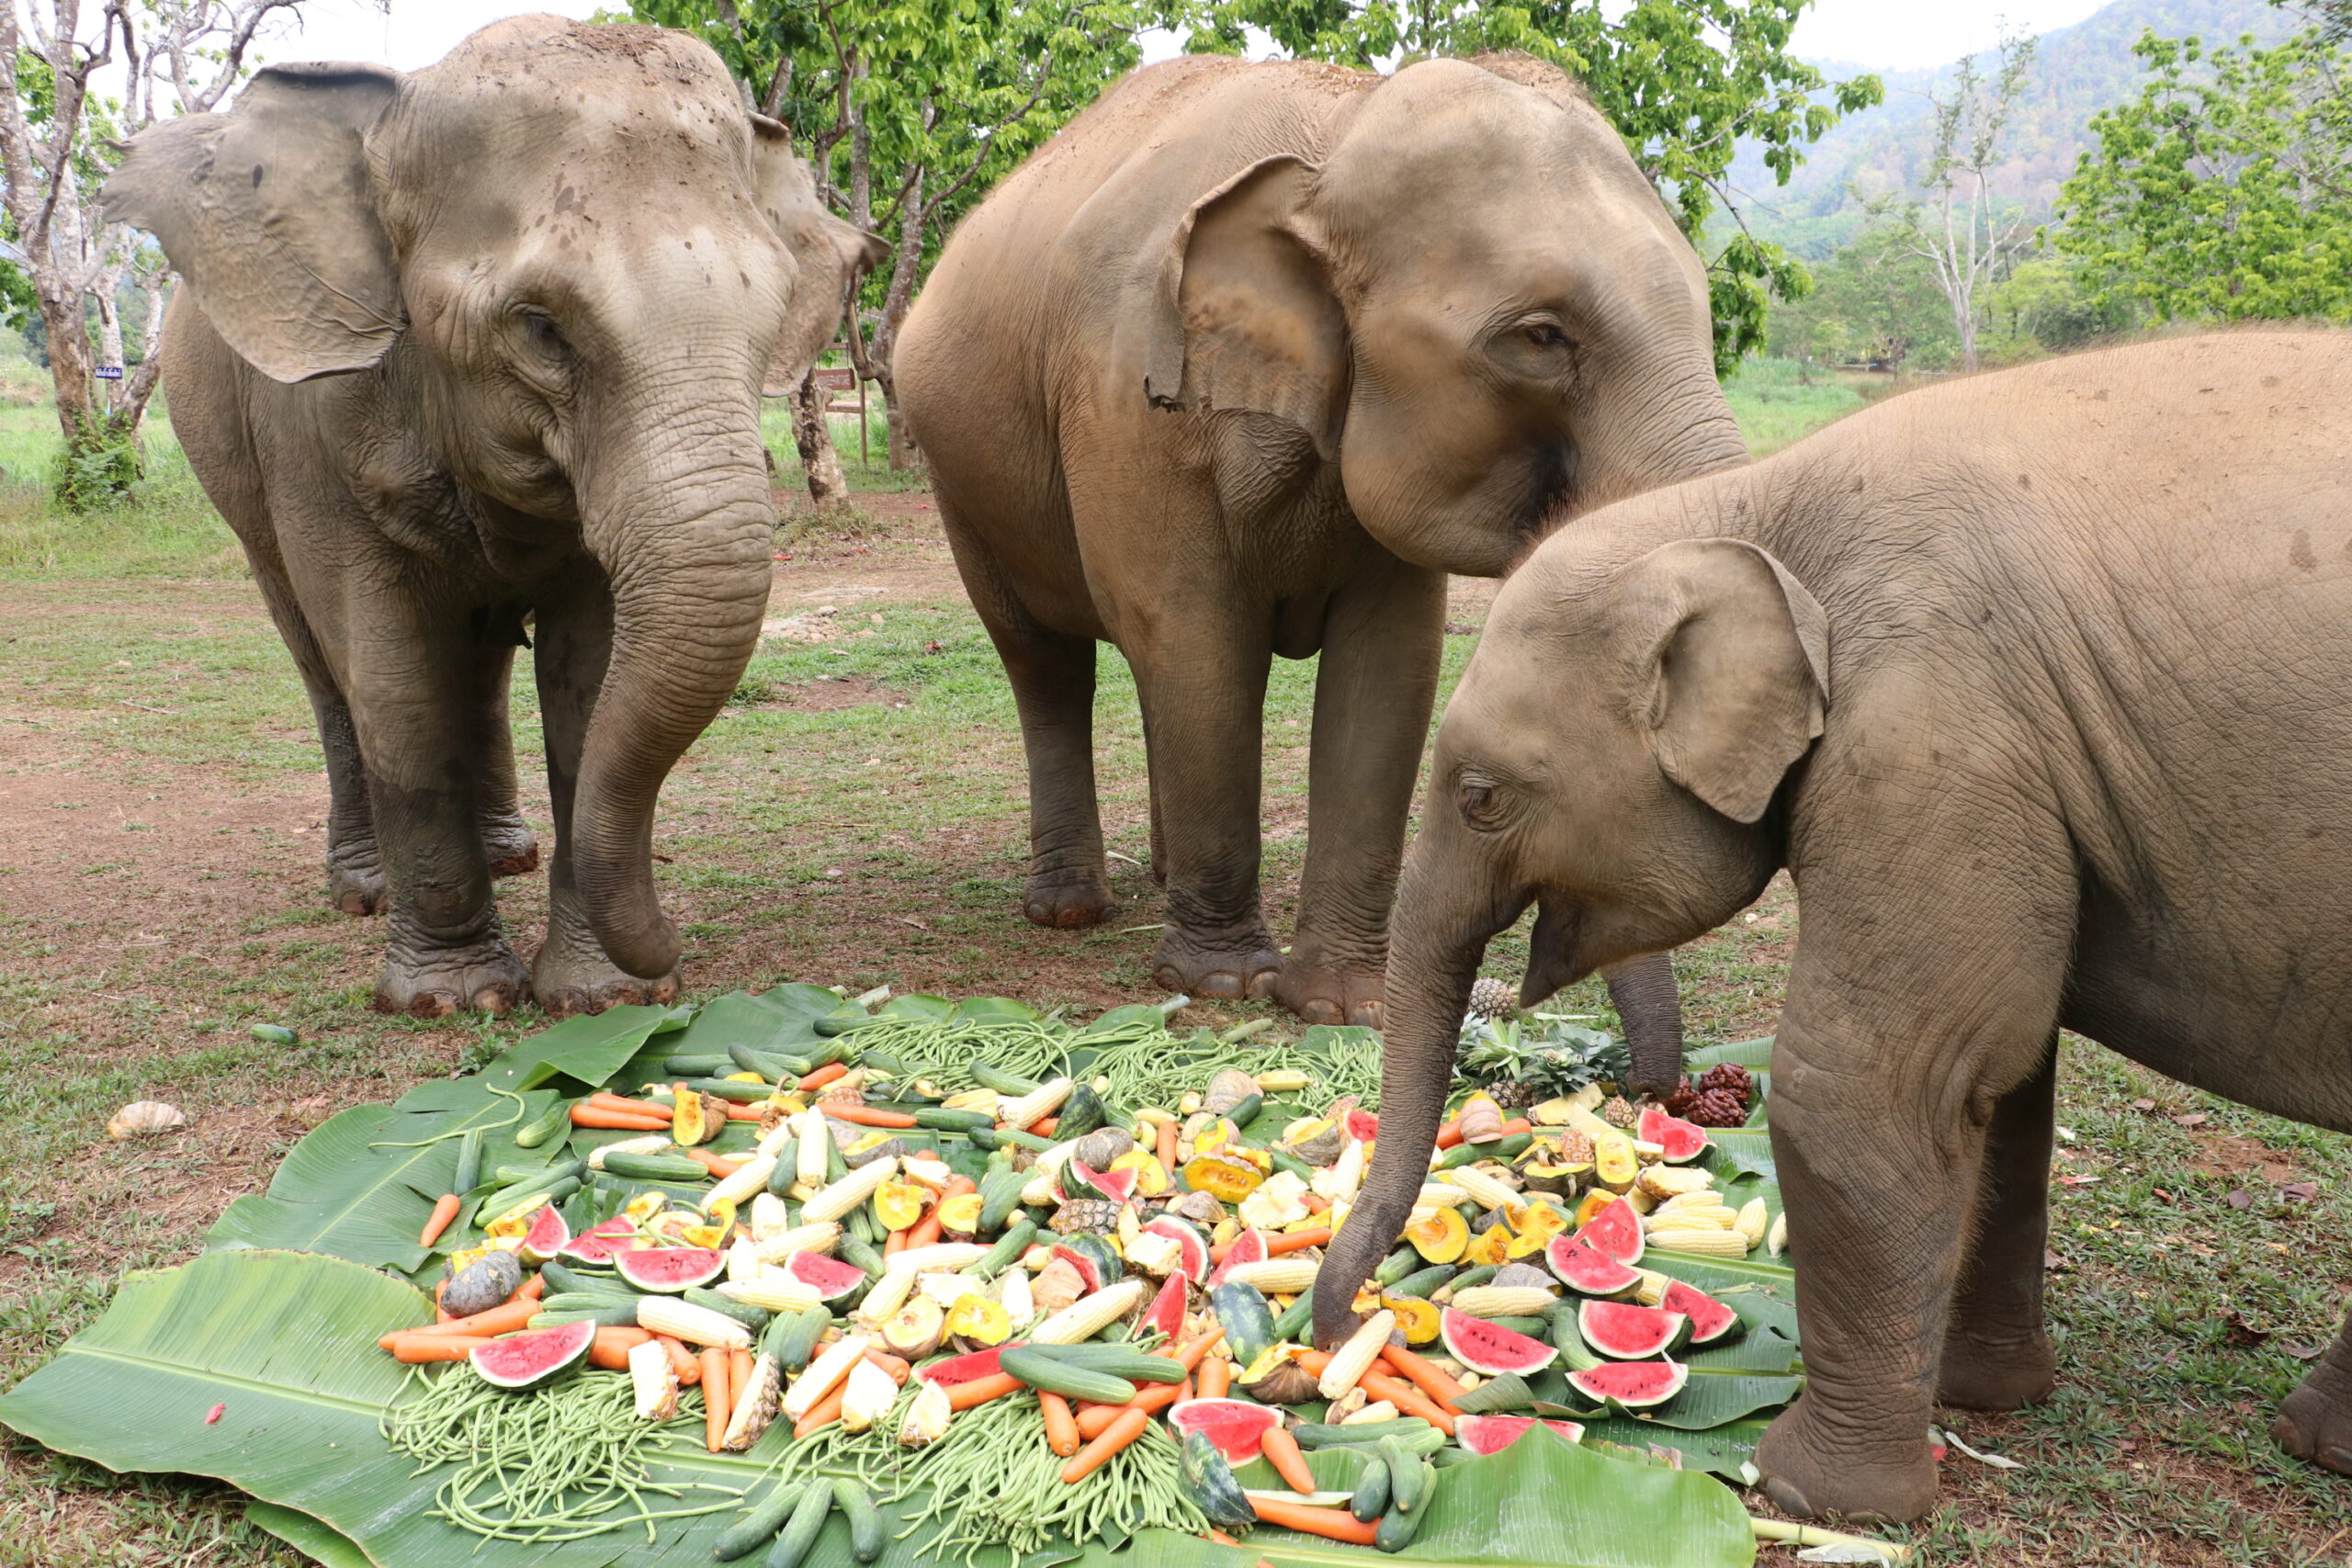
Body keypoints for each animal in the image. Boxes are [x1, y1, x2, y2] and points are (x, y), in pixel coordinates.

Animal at [102, 17, 881, 1017]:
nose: (671, 945)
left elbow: (587, 673)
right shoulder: (309, 426)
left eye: (776, 315)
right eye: (541, 327)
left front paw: (601, 999)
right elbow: (392, 683)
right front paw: (455, 998)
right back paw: (365, 891)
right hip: (238, 483)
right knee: (323, 662)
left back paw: (510, 855)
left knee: (474, 662)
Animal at [893, 52, 1742, 1054]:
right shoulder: (1129, 407)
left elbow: (1388, 671)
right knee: (1047, 663)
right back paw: (1069, 909)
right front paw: (1220, 983)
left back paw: (1159, 877)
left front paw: (1345, 1008)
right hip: (960, 482)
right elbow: (1199, 643)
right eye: (1540, 336)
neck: (1337, 130)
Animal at [1314, 332, 2352, 1522]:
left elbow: (1868, 1080)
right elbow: (2002, 1086)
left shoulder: (1934, 730)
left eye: (1481, 796)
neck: (1754, 505)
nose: (1350, 1330)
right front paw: (1976, 1398)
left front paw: (1815, 1496)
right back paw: (2322, 1444)